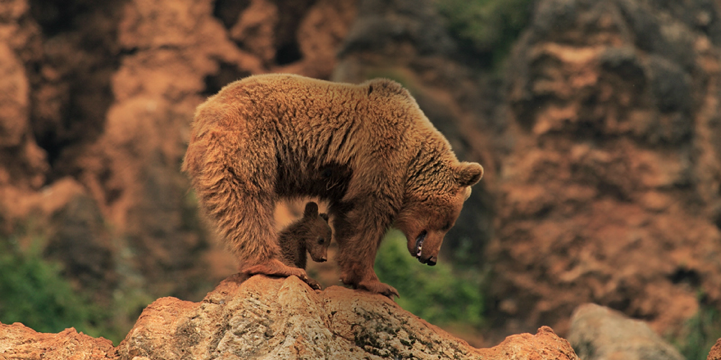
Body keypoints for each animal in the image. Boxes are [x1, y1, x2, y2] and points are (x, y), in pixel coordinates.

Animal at [181, 74, 484, 298]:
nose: (431, 258)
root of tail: (202, 112)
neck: (411, 161)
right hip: (250, 142)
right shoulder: (379, 156)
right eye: (448, 224)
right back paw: (276, 264)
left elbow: (349, 218)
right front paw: (380, 284)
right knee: (247, 199)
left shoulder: (348, 178)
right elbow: (368, 218)